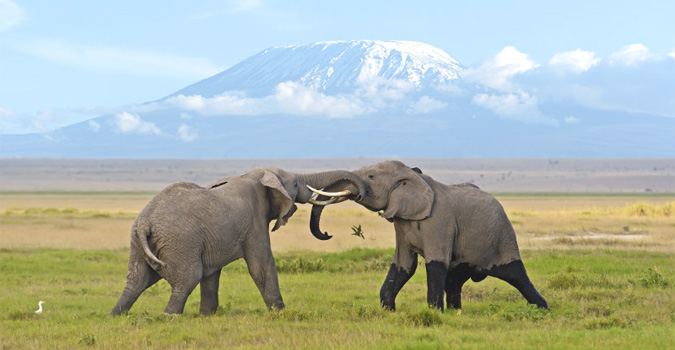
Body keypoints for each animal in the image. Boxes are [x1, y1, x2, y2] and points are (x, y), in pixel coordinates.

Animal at [111, 165, 368, 316]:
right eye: (295, 184)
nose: (327, 234)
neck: (256, 175)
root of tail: (145, 222)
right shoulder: (255, 222)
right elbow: (261, 266)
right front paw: (280, 314)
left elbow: (212, 275)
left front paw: (207, 316)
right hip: (180, 241)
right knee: (187, 278)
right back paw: (169, 317)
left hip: (139, 242)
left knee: (137, 280)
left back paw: (116, 316)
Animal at [308, 161, 552, 312]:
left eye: (370, 176)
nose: (327, 234)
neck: (413, 177)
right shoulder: (401, 223)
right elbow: (404, 266)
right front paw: (389, 311)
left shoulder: (439, 222)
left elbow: (435, 264)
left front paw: (435, 314)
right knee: (454, 281)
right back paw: (456, 313)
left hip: (504, 236)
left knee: (518, 276)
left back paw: (545, 310)